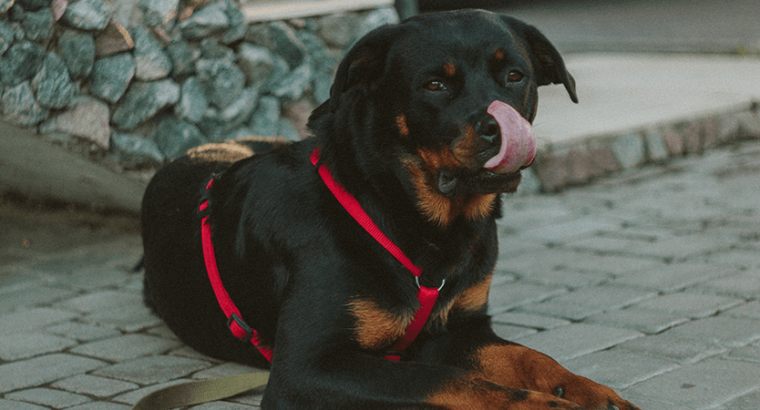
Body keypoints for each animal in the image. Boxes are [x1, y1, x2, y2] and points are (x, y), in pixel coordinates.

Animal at [141, 9, 636, 410]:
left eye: (515, 76)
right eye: (435, 84)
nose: (497, 127)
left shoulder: (461, 329)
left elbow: (530, 356)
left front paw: (588, 390)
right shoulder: (306, 368)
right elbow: (448, 380)